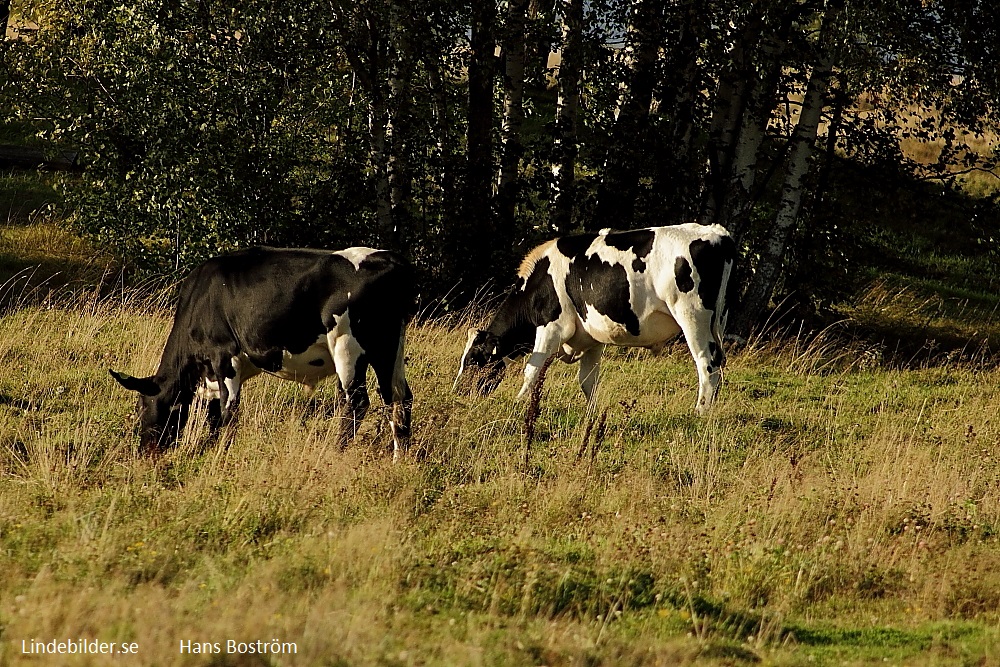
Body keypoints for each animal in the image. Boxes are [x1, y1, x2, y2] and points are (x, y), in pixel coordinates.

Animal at [112, 247, 414, 460]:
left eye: (142, 407)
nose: (145, 452)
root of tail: (391, 258)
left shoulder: (224, 357)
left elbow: (227, 411)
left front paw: (218, 452)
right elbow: (213, 414)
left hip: (347, 345)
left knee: (356, 402)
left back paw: (336, 452)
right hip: (390, 349)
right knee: (399, 398)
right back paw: (400, 458)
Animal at [458, 224, 740, 412]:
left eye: (473, 359)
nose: (457, 393)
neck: (539, 282)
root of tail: (718, 233)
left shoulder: (551, 327)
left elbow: (532, 371)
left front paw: (516, 404)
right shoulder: (591, 336)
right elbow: (587, 381)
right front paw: (590, 415)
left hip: (692, 316)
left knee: (707, 363)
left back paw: (700, 412)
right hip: (718, 320)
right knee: (718, 363)